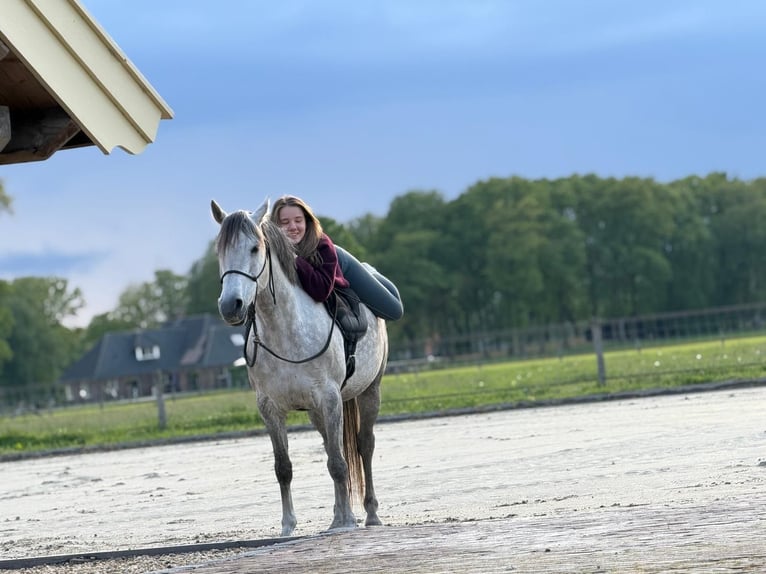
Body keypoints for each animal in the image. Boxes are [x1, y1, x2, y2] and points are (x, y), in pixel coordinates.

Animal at [210, 198, 389, 536]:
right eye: (220, 251)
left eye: (254, 248)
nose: (230, 306)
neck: (285, 333)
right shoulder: (270, 408)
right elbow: (284, 467)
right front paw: (288, 526)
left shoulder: (330, 399)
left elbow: (339, 463)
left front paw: (347, 522)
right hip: (317, 412)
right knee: (335, 448)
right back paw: (338, 515)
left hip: (368, 391)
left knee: (364, 446)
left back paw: (370, 513)